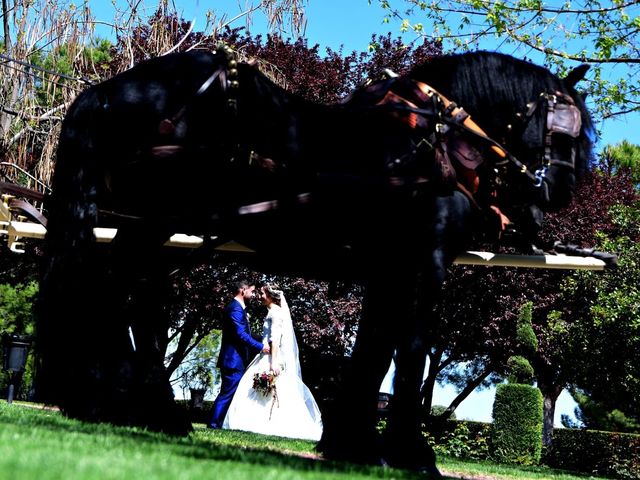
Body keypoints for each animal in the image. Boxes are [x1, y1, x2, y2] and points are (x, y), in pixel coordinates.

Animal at [35, 46, 592, 472]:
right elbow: (410, 353)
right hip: (154, 220)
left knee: (128, 294)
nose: (563, 191)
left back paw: (132, 404)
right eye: (565, 131)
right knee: (120, 293)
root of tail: (112, 89)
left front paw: (354, 443)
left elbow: (374, 352)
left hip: (149, 225)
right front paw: (409, 452)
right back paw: (124, 399)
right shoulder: (423, 263)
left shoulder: (388, 272)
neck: (434, 144)